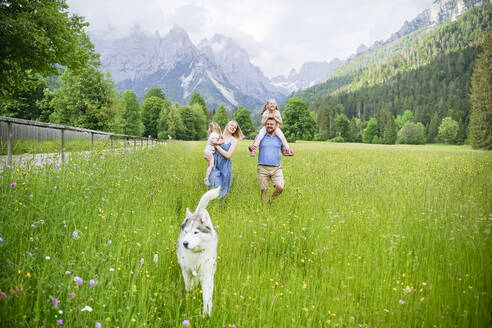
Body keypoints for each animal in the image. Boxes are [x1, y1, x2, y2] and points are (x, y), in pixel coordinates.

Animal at [177, 188, 219, 316]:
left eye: (196, 232)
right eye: (186, 231)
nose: (185, 243)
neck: (197, 253)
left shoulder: (207, 273)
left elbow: (207, 296)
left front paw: (206, 314)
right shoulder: (186, 270)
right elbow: (188, 286)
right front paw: (189, 295)